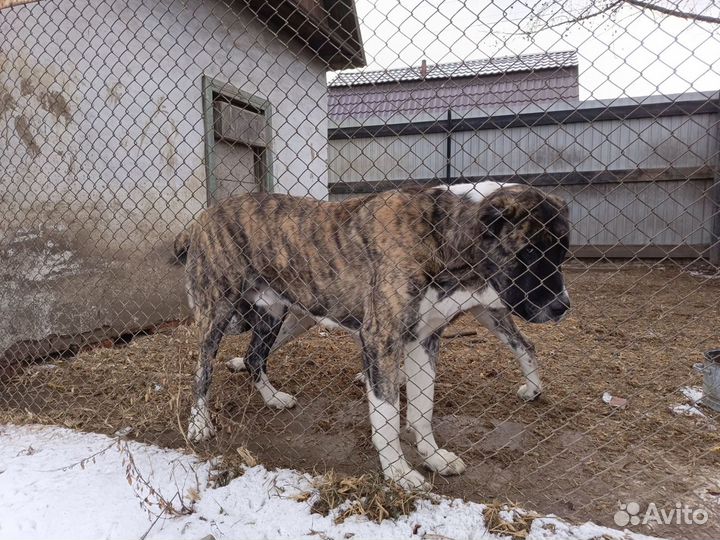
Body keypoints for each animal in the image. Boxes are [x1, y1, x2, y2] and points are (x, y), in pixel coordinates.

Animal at [174, 182, 568, 490]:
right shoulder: (381, 340)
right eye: (529, 251)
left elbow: (422, 411)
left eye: (562, 253)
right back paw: (199, 423)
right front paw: (397, 472)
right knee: (202, 371)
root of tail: (203, 217)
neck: (440, 236)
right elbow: (387, 417)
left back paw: (272, 398)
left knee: (255, 355)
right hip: (216, 313)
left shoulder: (424, 342)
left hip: (276, 314)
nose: (563, 306)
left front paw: (433, 456)